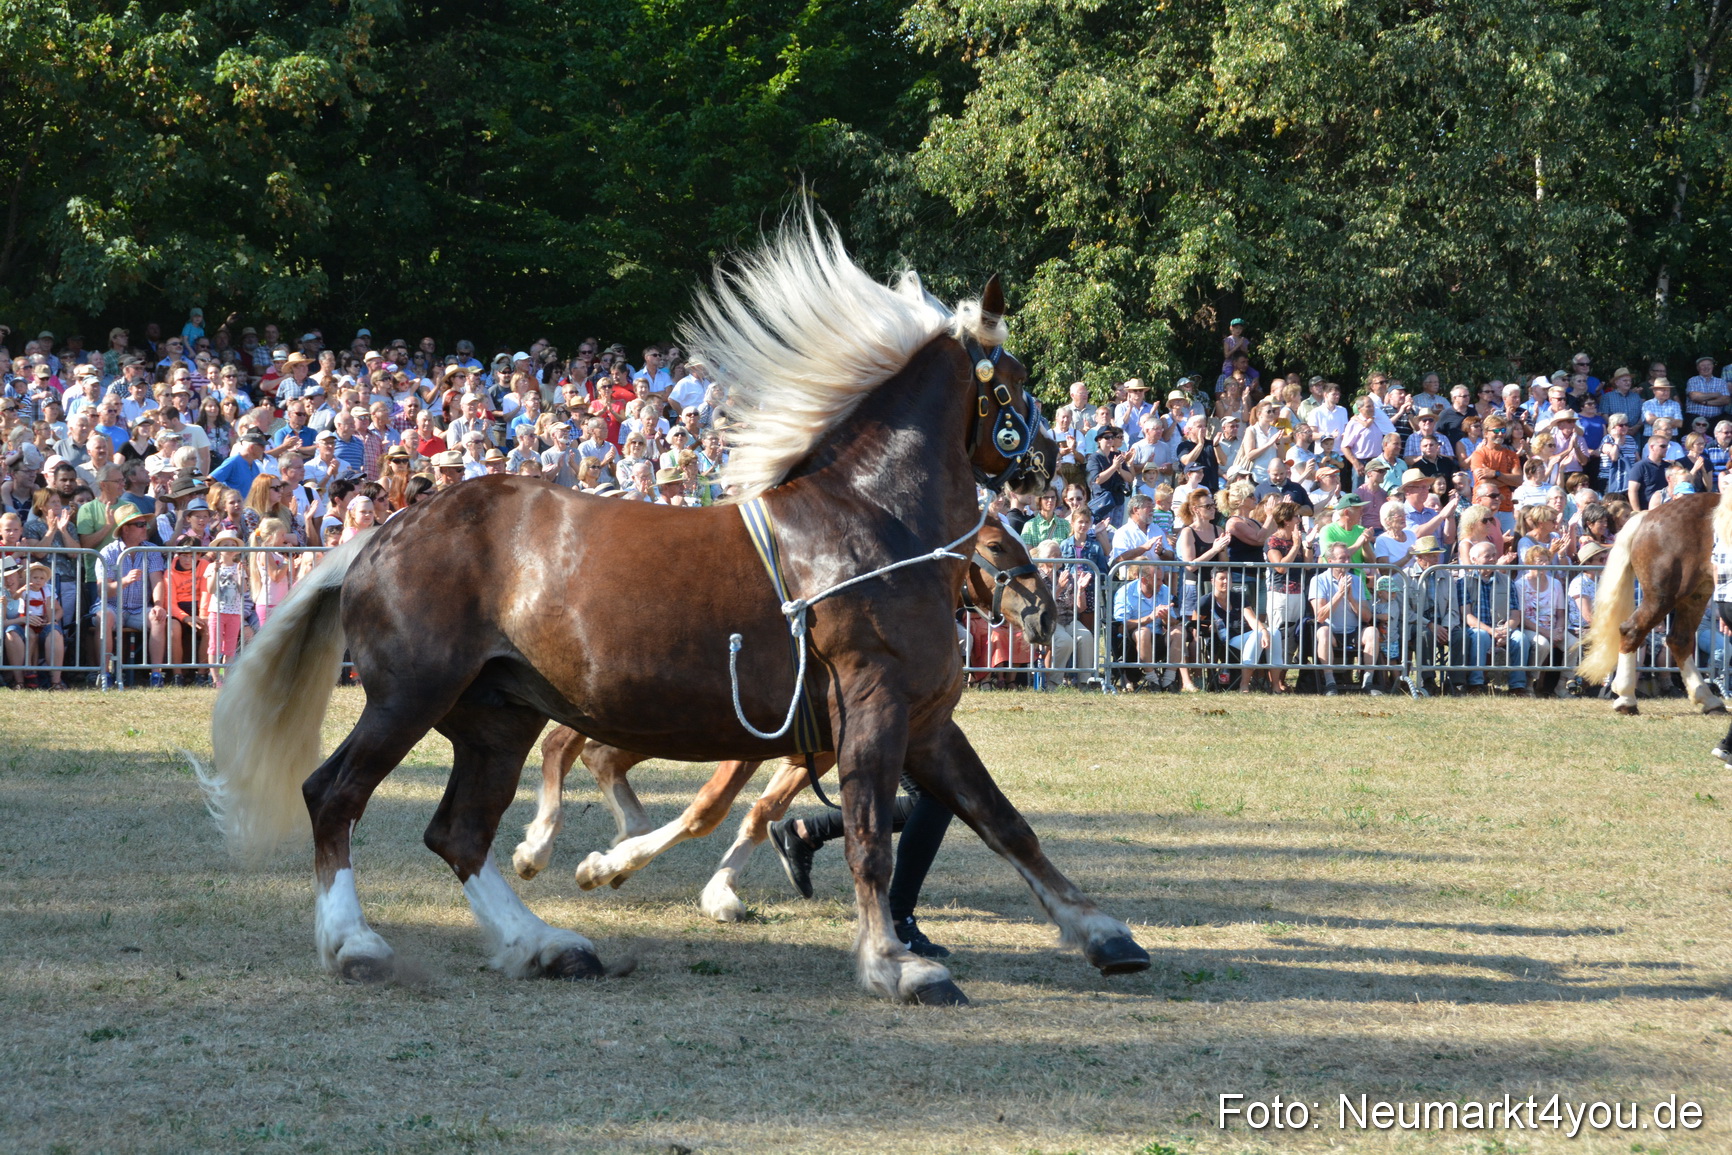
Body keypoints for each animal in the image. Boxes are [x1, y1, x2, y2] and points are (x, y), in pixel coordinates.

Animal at [509, 519, 1056, 925]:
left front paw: (722, 889)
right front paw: (605, 867)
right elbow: (706, 810)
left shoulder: (814, 751)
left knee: (598, 756)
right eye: (996, 545)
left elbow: (762, 811)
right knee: (562, 746)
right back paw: (539, 847)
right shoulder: (751, 743)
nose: (1047, 616)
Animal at [1577, 488, 1731, 720]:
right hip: (1663, 596)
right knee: (1632, 630)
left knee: (1679, 640)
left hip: (1695, 594)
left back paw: (1708, 700)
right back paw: (1626, 698)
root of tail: (1647, 516)